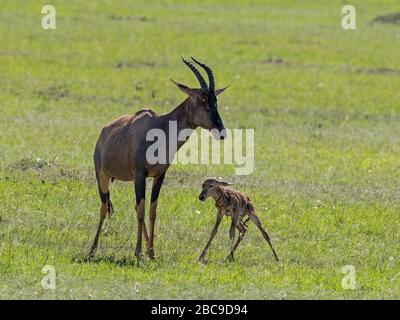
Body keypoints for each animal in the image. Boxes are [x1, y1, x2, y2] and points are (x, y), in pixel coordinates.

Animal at [90, 58, 228, 260]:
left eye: (215, 100)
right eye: (202, 99)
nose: (221, 131)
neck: (159, 126)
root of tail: (103, 133)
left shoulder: (159, 176)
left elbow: (152, 211)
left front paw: (152, 253)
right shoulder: (140, 175)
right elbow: (141, 210)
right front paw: (138, 252)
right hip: (102, 176)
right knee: (103, 207)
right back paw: (92, 249)